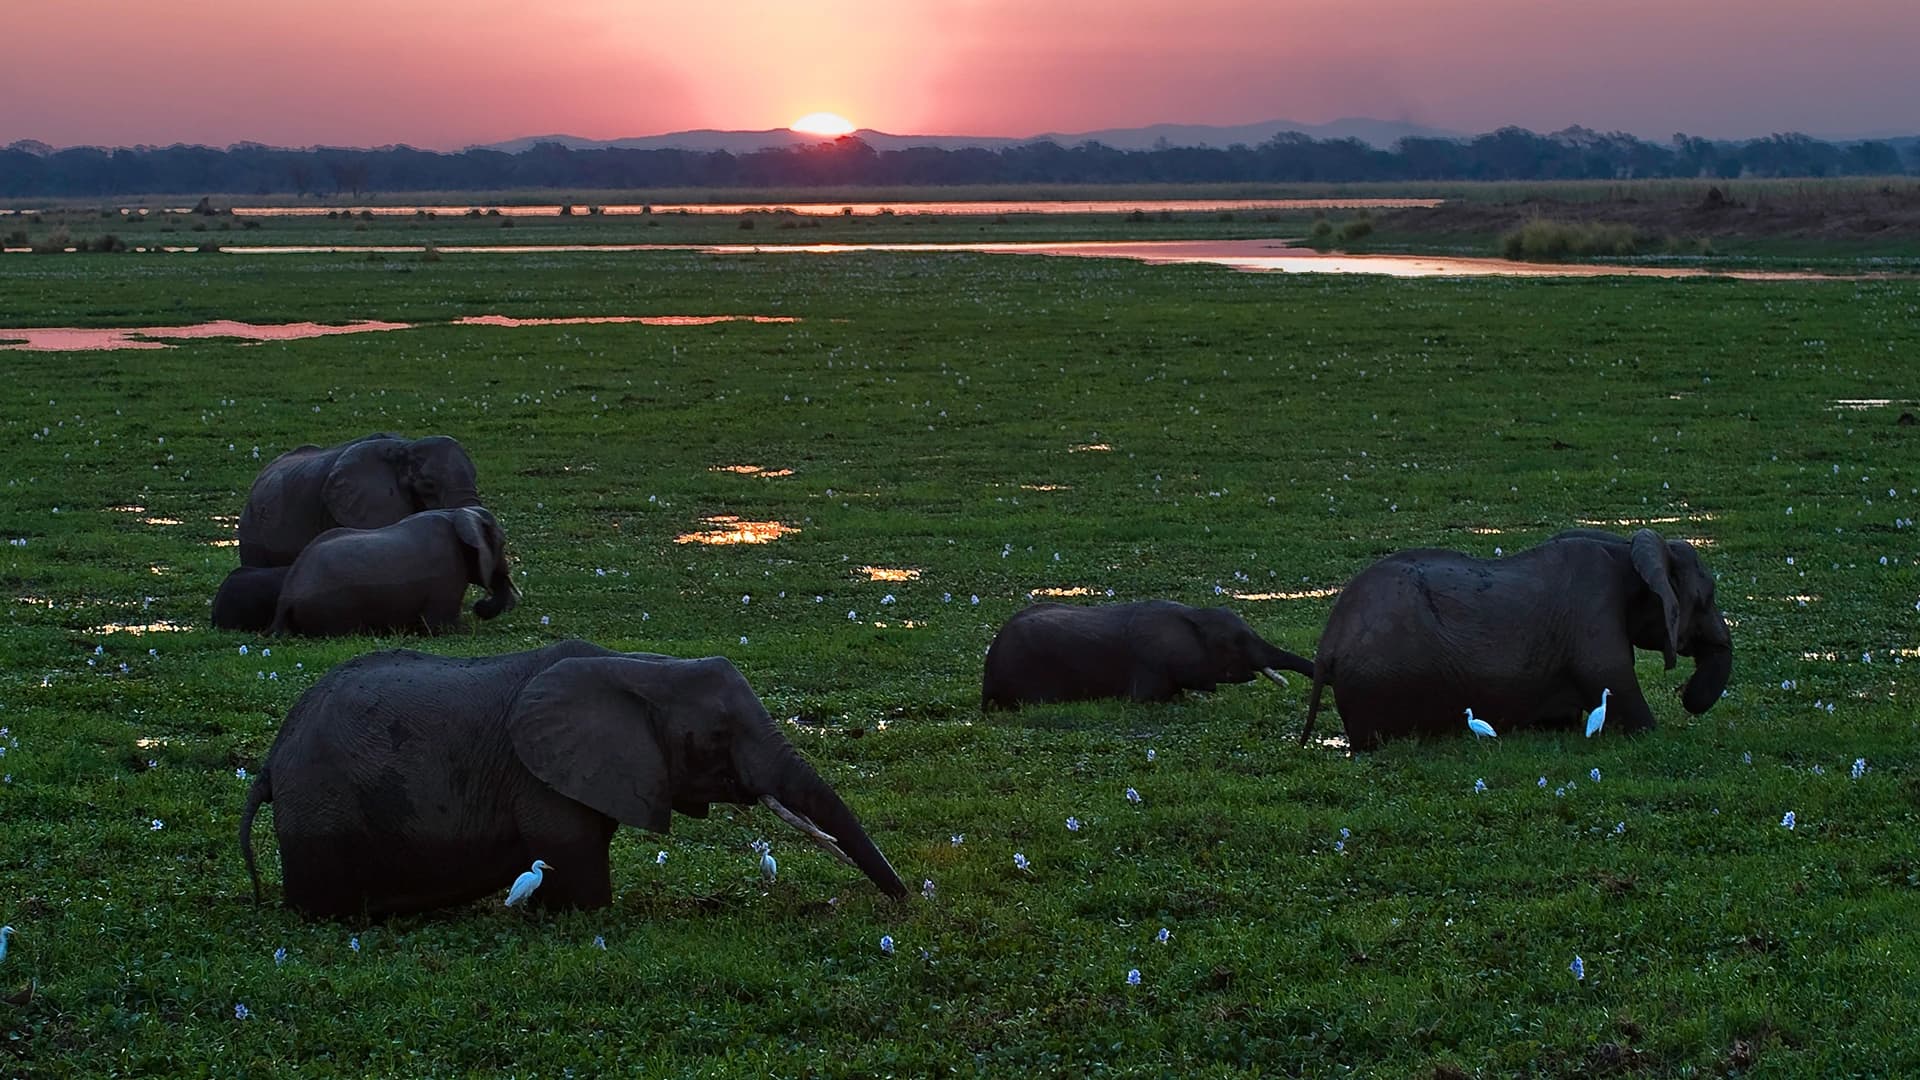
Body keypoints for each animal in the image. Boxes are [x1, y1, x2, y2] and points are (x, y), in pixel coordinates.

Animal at [239, 640, 908, 917]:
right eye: (717, 736)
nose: (908, 903)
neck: (634, 666)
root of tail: (270, 761)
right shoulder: (536, 775)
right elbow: (575, 858)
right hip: (320, 809)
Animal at [270, 507, 516, 637]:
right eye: (502, 544)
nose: (480, 606)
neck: (456, 513)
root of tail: (284, 601)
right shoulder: (447, 573)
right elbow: (440, 626)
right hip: (333, 607)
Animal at [1299, 527, 1732, 750]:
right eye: (1707, 598)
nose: (1684, 692)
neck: (1623, 548)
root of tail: (1327, 646)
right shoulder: (1593, 620)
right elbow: (1622, 693)